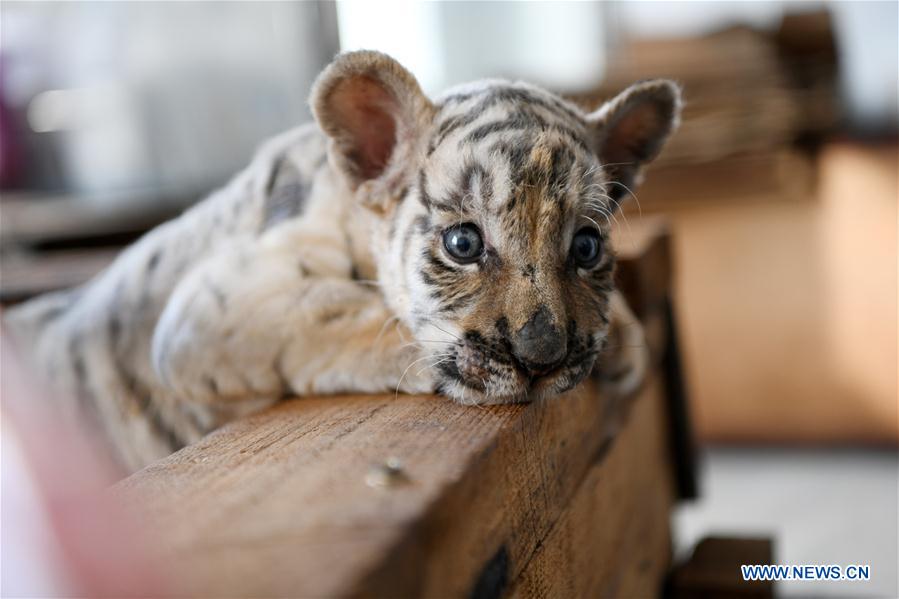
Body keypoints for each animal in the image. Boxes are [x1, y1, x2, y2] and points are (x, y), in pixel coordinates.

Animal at [4, 51, 681, 472]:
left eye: (586, 248)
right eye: (463, 244)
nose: (543, 357)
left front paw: (622, 339)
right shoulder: (216, 307)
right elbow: (345, 313)